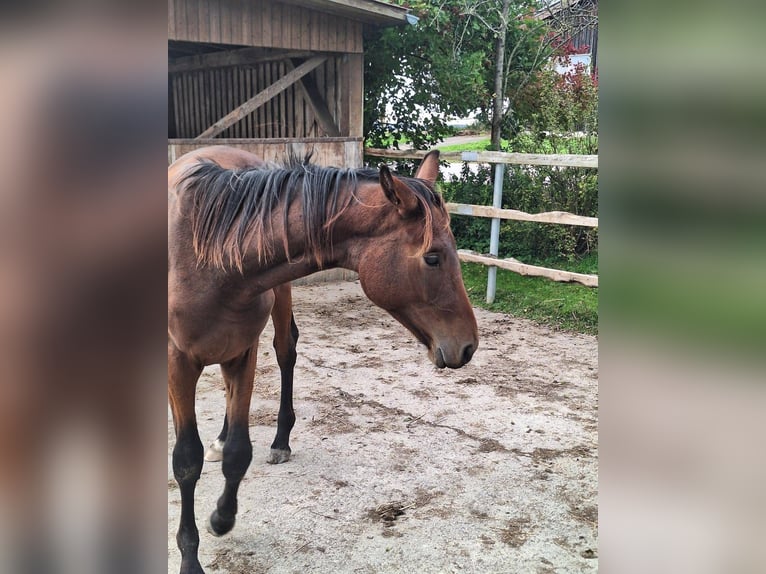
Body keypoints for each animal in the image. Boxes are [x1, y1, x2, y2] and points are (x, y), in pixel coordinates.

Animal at [169, 146, 480, 572]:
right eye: (432, 258)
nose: (468, 346)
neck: (208, 257)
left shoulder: (243, 352)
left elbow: (238, 452)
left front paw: (221, 517)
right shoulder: (178, 362)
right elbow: (186, 461)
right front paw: (189, 556)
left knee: (284, 352)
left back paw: (275, 440)